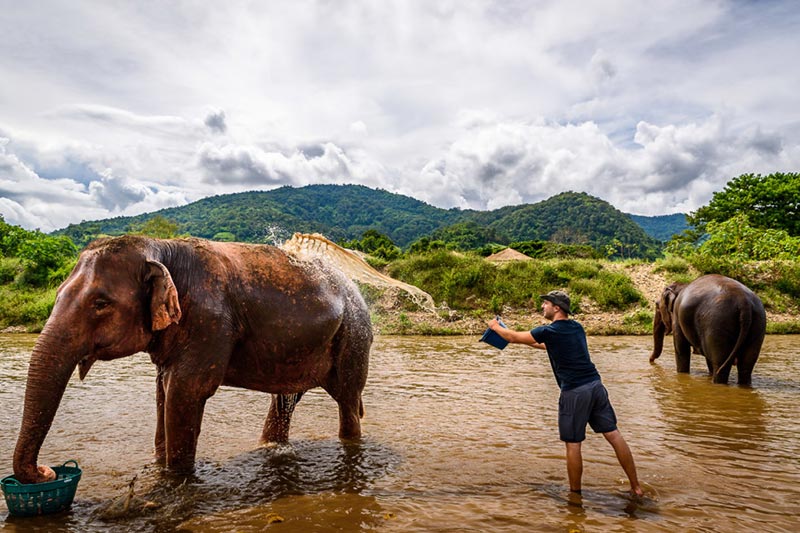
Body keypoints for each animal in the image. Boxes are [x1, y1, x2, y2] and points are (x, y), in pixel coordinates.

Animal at [13, 235, 372, 484]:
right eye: (58, 293)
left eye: (100, 303)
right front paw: (160, 469)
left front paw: (176, 479)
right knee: (286, 399)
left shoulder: (208, 322)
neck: (162, 250)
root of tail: (354, 288)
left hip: (353, 335)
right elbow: (163, 391)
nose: (46, 472)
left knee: (347, 400)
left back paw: (349, 442)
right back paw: (271, 447)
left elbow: (185, 392)